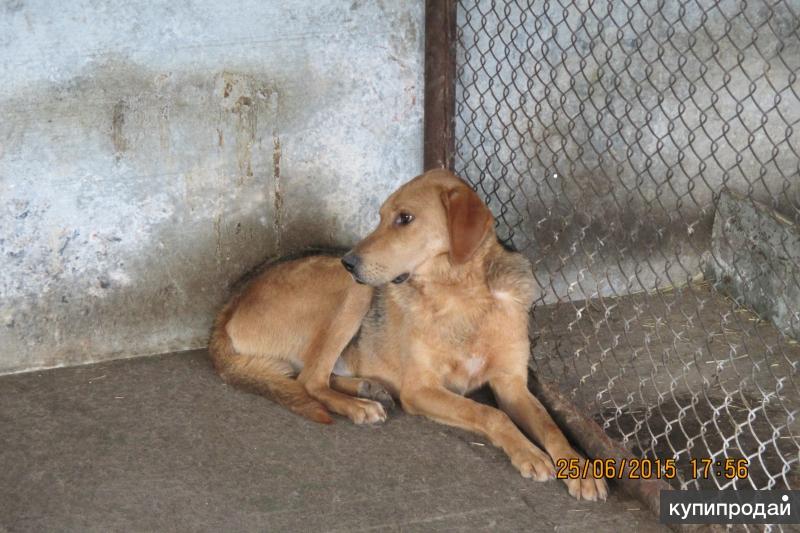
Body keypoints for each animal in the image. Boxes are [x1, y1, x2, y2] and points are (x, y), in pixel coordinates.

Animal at [209, 169, 608, 498]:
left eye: (405, 219)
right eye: (380, 217)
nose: (349, 261)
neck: (463, 296)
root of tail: (230, 303)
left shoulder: (512, 385)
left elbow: (550, 425)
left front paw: (579, 467)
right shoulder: (421, 389)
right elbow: (490, 414)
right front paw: (528, 452)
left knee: (311, 375)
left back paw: (367, 388)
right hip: (354, 291)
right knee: (310, 380)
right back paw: (359, 406)